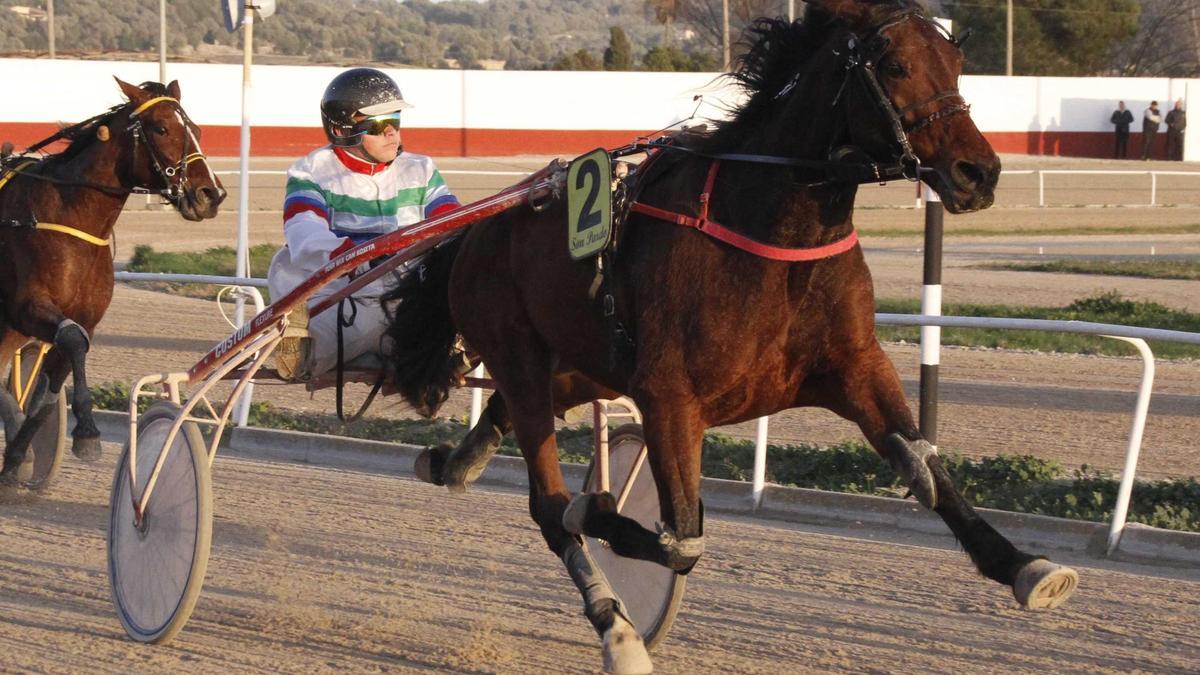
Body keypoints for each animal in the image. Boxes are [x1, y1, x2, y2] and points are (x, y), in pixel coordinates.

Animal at [0, 78, 225, 482]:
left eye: (197, 131)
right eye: (161, 128)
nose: (210, 194)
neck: (67, 217)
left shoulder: (79, 317)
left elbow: (50, 389)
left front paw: (17, 457)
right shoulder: (27, 306)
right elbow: (73, 343)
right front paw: (87, 432)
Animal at [391, 3, 1080, 667]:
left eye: (956, 65)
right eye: (895, 66)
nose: (979, 172)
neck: (773, 232)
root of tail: (476, 229)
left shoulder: (856, 366)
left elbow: (925, 468)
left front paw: (1028, 567)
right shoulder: (670, 397)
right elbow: (681, 541)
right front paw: (601, 509)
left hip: (577, 368)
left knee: (501, 429)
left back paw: (453, 462)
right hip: (521, 358)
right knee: (549, 504)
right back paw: (616, 629)